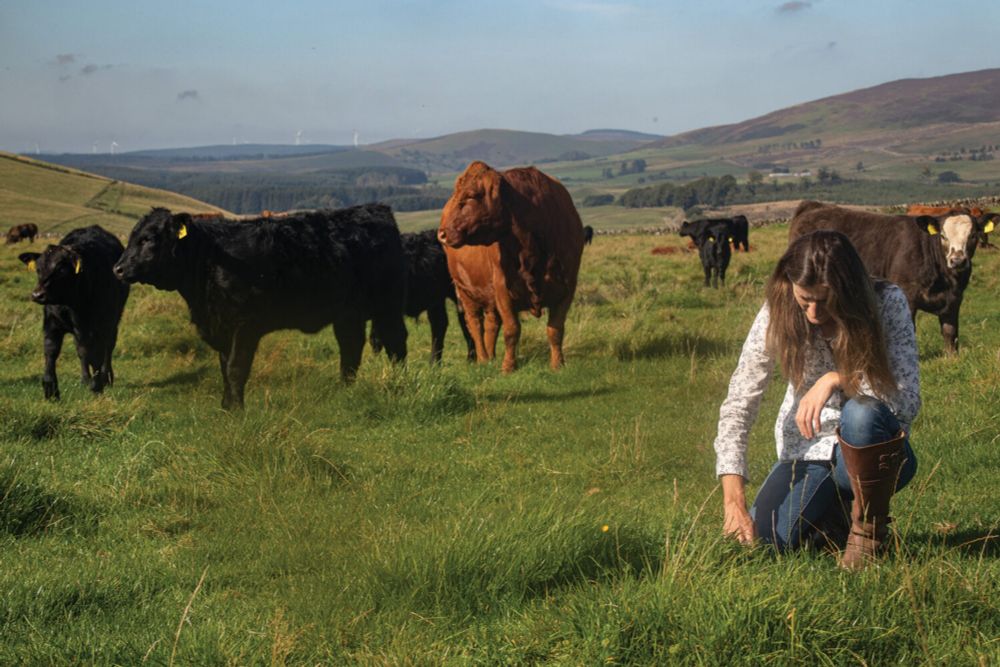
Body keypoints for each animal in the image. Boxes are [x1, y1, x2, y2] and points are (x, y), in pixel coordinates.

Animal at [18, 224, 129, 402]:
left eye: (61, 270)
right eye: (38, 269)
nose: (37, 294)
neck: (73, 305)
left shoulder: (100, 326)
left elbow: (97, 354)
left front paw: (97, 385)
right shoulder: (52, 322)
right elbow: (51, 350)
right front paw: (50, 388)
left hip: (114, 320)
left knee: (108, 347)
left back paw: (106, 377)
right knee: (82, 350)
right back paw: (85, 378)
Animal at [116, 206, 410, 410]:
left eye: (148, 239)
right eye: (132, 237)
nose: (117, 268)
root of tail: (376, 209)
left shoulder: (245, 325)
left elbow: (236, 368)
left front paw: (236, 411)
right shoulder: (221, 326)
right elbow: (224, 368)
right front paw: (226, 406)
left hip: (388, 306)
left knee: (396, 343)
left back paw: (399, 383)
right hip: (348, 313)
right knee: (350, 345)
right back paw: (344, 389)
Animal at [370, 231, 474, 366]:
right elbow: (376, 338)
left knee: (465, 322)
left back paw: (471, 360)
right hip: (437, 299)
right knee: (440, 324)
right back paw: (434, 363)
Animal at [438, 160, 584, 374]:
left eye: (472, 195)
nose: (442, 233)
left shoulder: (567, 288)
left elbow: (555, 329)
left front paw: (558, 364)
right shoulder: (502, 289)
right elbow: (512, 330)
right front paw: (508, 367)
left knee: (491, 323)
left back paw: (491, 357)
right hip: (464, 291)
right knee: (475, 324)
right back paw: (483, 358)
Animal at [788, 198, 992, 354]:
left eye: (973, 235)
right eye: (943, 235)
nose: (957, 261)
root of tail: (813, 206)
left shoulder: (954, 299)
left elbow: (951, 333)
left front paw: (951, 359)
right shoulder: (907, 296)